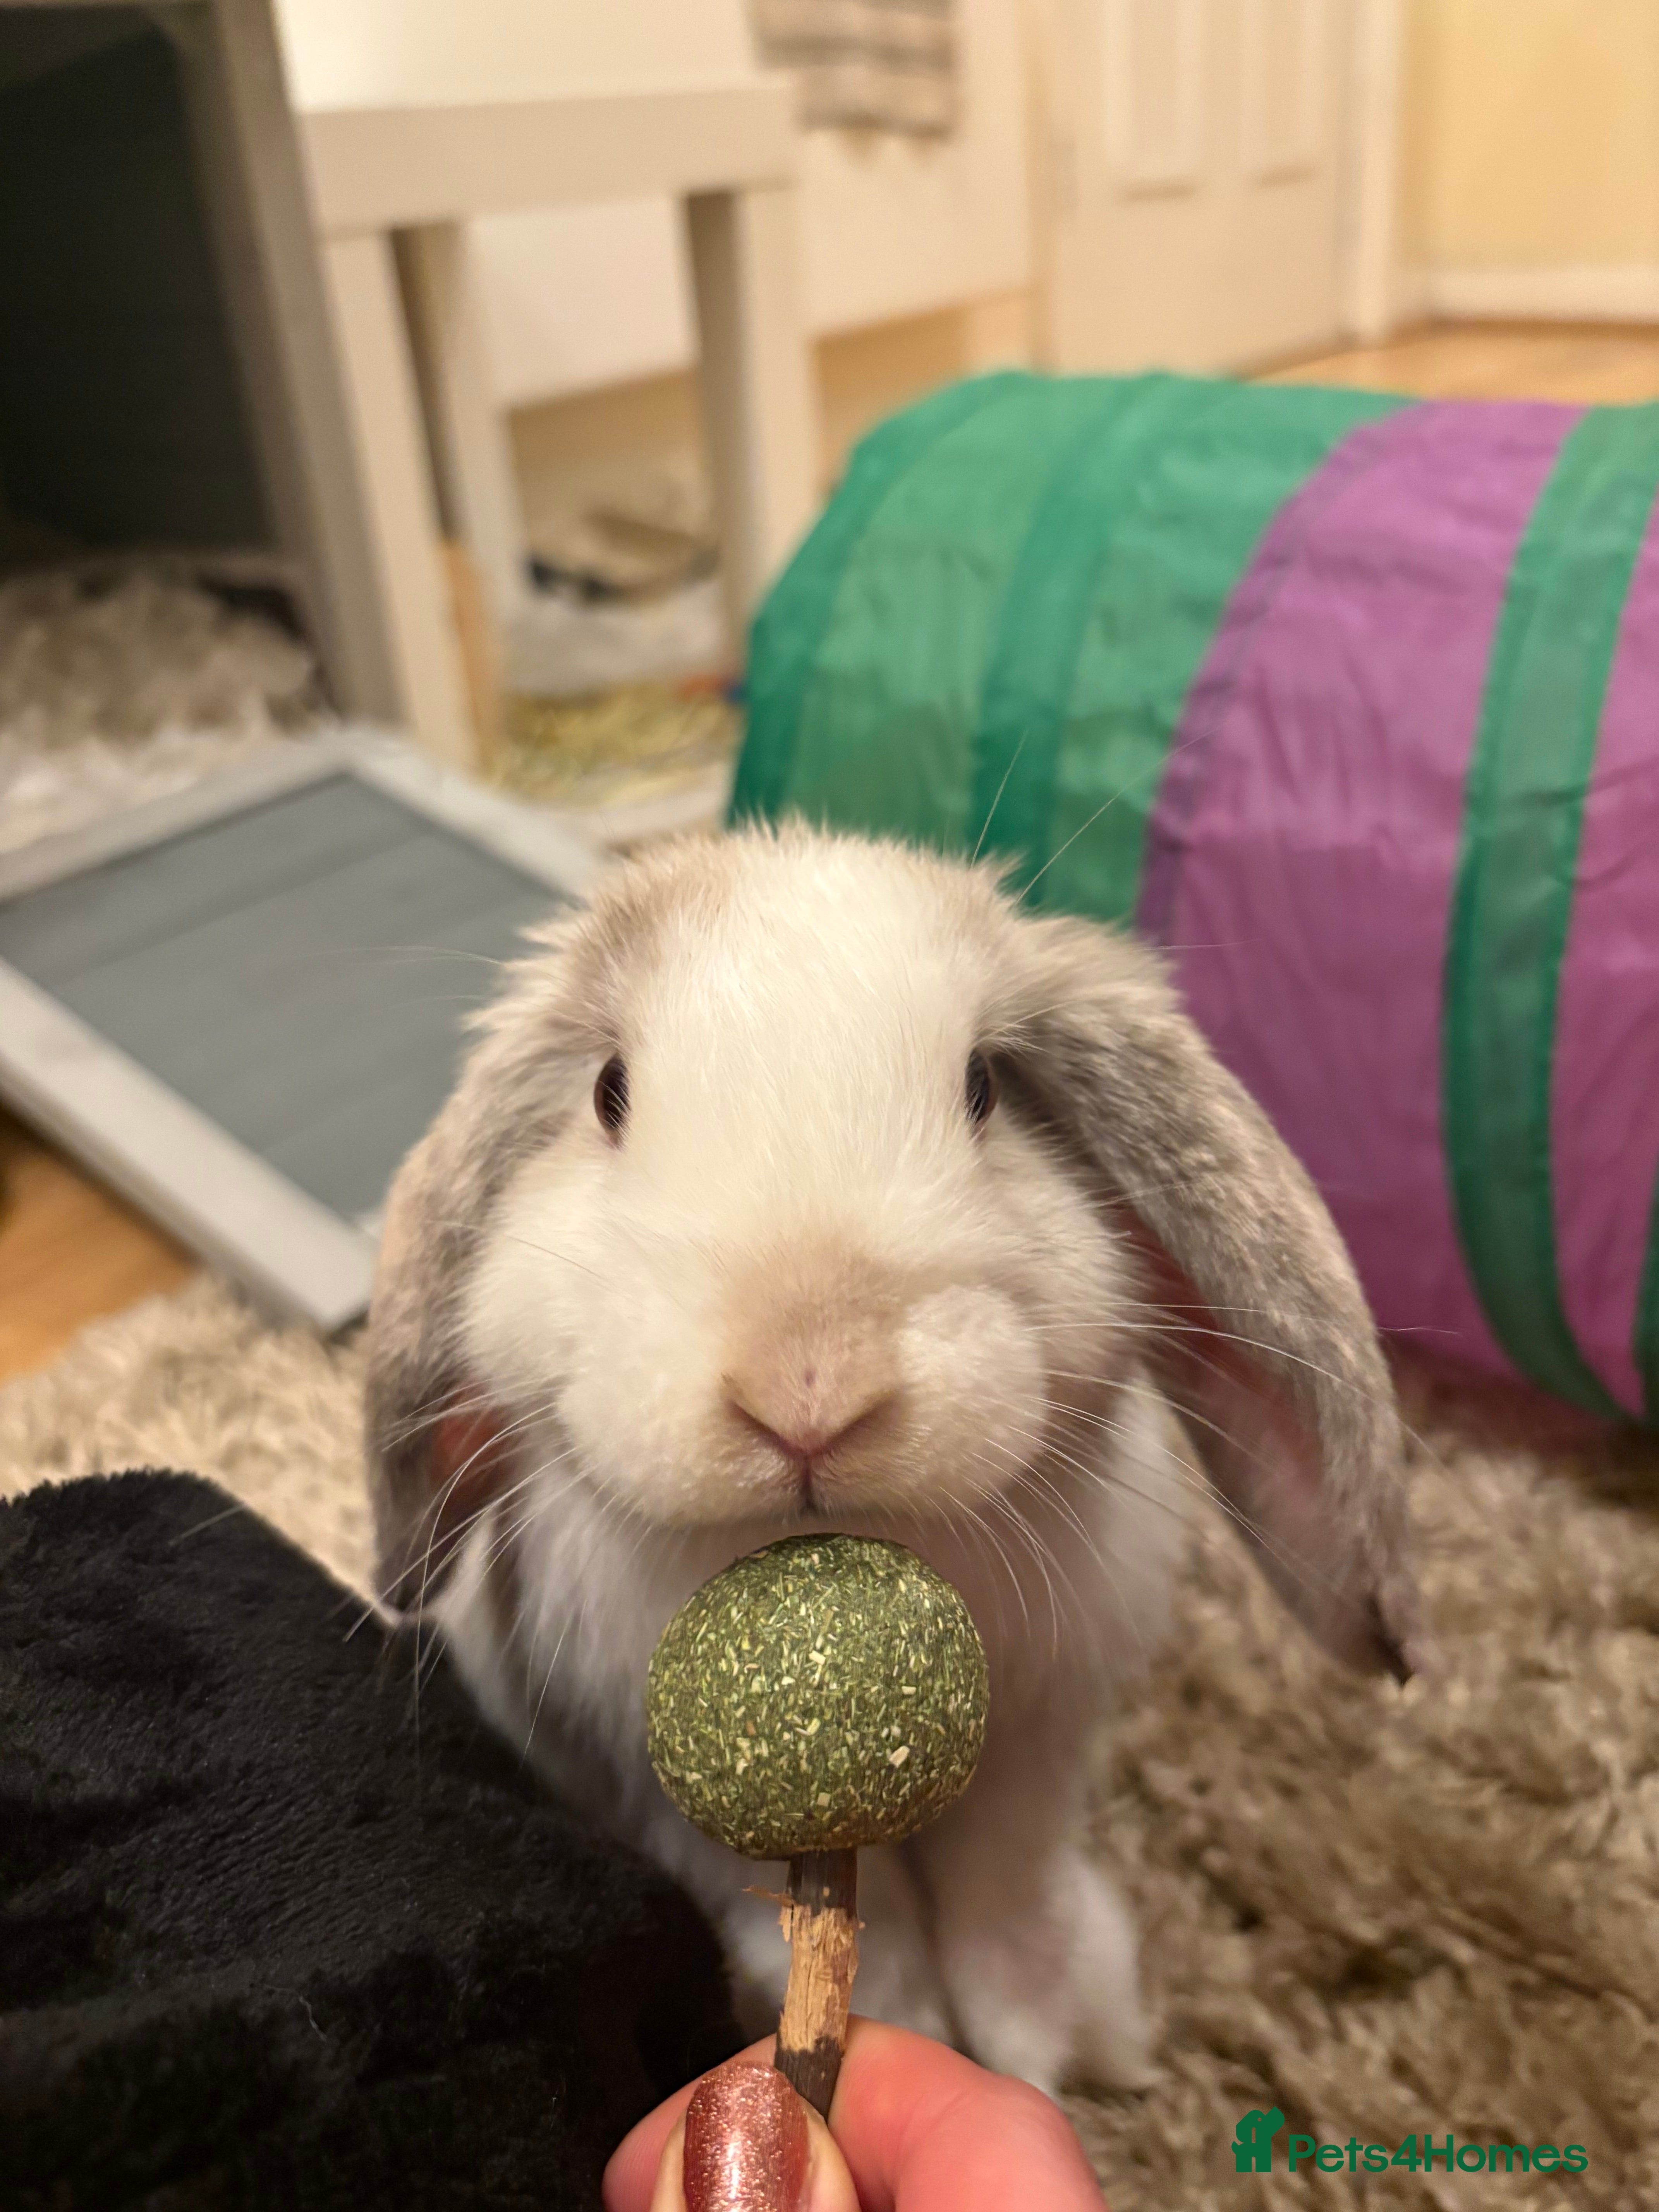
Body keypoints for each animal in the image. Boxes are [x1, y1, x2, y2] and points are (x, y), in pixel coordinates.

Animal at [364, 822, 1418, 2098]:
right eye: (610, 1093)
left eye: (985, 1087)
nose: (809, 1385)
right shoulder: (651, 1780)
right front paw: (899, 2030)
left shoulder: (1036, 1748)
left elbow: (1005, 1888)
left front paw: (1030, 2050)